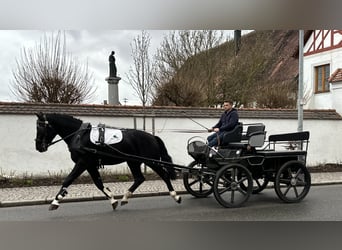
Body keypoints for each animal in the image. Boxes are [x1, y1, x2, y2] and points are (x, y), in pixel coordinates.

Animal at [35, 112, 182, 210]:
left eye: (40, 127)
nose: (38, 147)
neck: (79, 135)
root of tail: (152, 137)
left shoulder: (83, 162)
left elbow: (68, 179)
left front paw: (55, 201)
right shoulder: (90, 164)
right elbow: (98, 184)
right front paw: (112, 200)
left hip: (151, 161)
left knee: (164, 175)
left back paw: (175, 196)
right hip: (133, 161)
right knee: (139, 178)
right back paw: (125, 198)